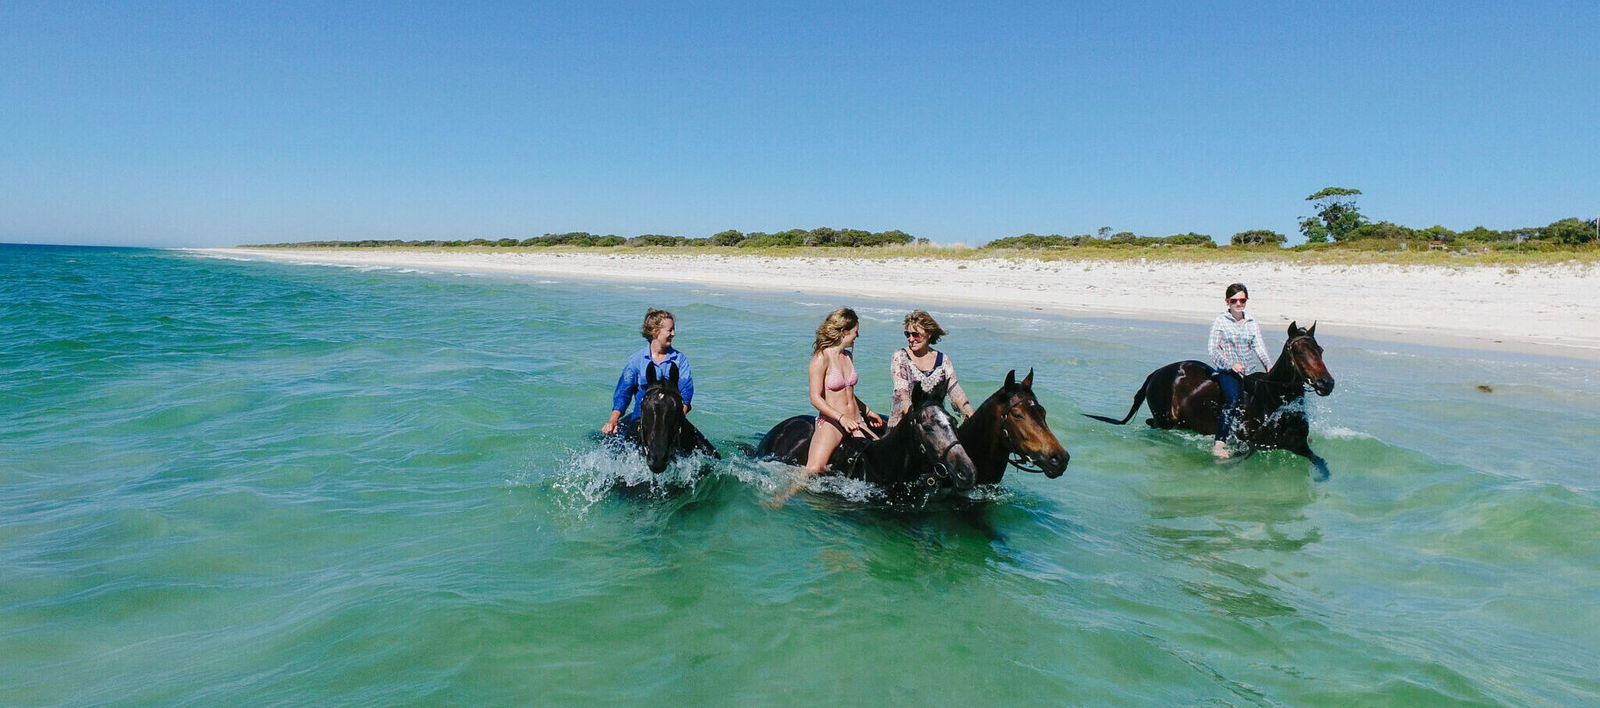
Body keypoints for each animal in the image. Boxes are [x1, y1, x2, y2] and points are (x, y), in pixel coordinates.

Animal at [1083, 321, 1336, 480]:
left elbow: (1322, 464)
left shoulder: (1298, 445)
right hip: (1165, 419)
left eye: (1321, 350)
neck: (1273, 401)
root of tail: (1156, 373)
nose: (1327, 384)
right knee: (1153, 425)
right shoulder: (1249, 446)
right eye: (1299, 351)